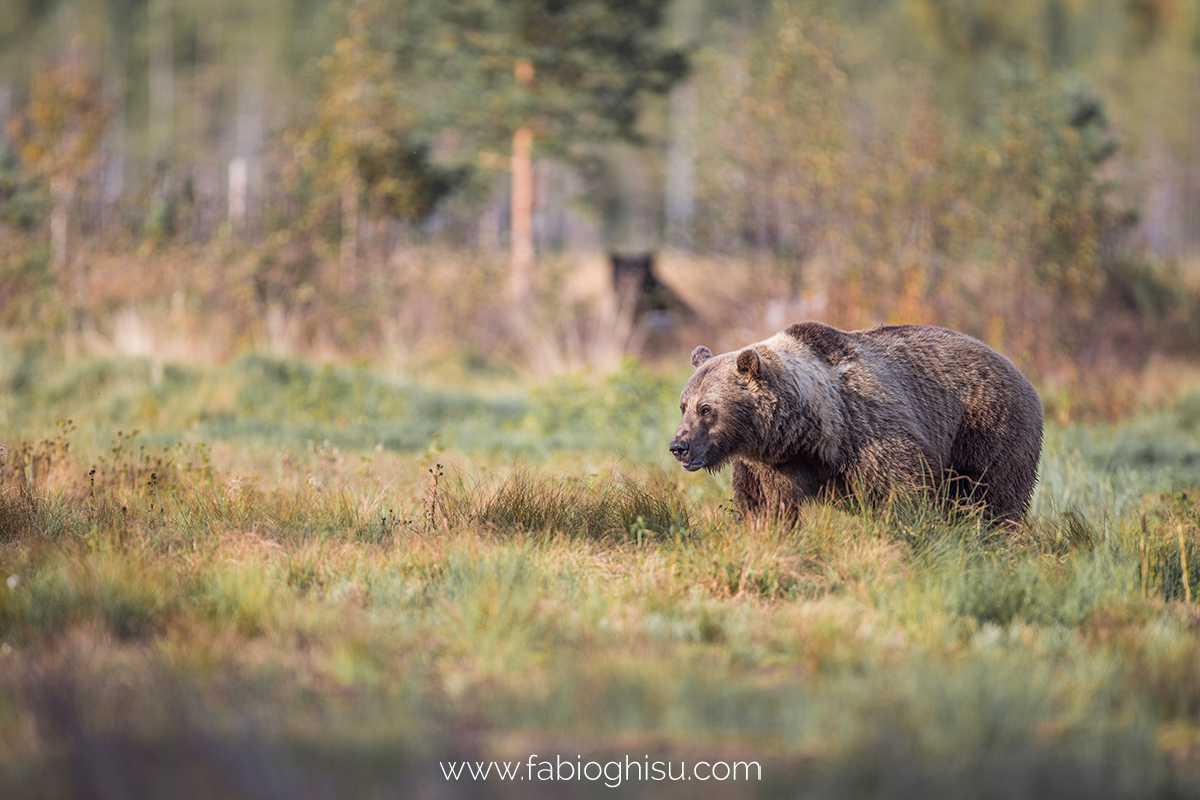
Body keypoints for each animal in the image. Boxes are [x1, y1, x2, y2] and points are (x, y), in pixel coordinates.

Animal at [672, 321, 1046, 522]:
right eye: (683, 406)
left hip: (988, 425)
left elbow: (906, 485)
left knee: (992, 494)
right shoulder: (768, 464)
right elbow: (763, 506)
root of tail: (1020, 372)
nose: (679, 446)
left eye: (706, 409)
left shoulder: (867, 431)